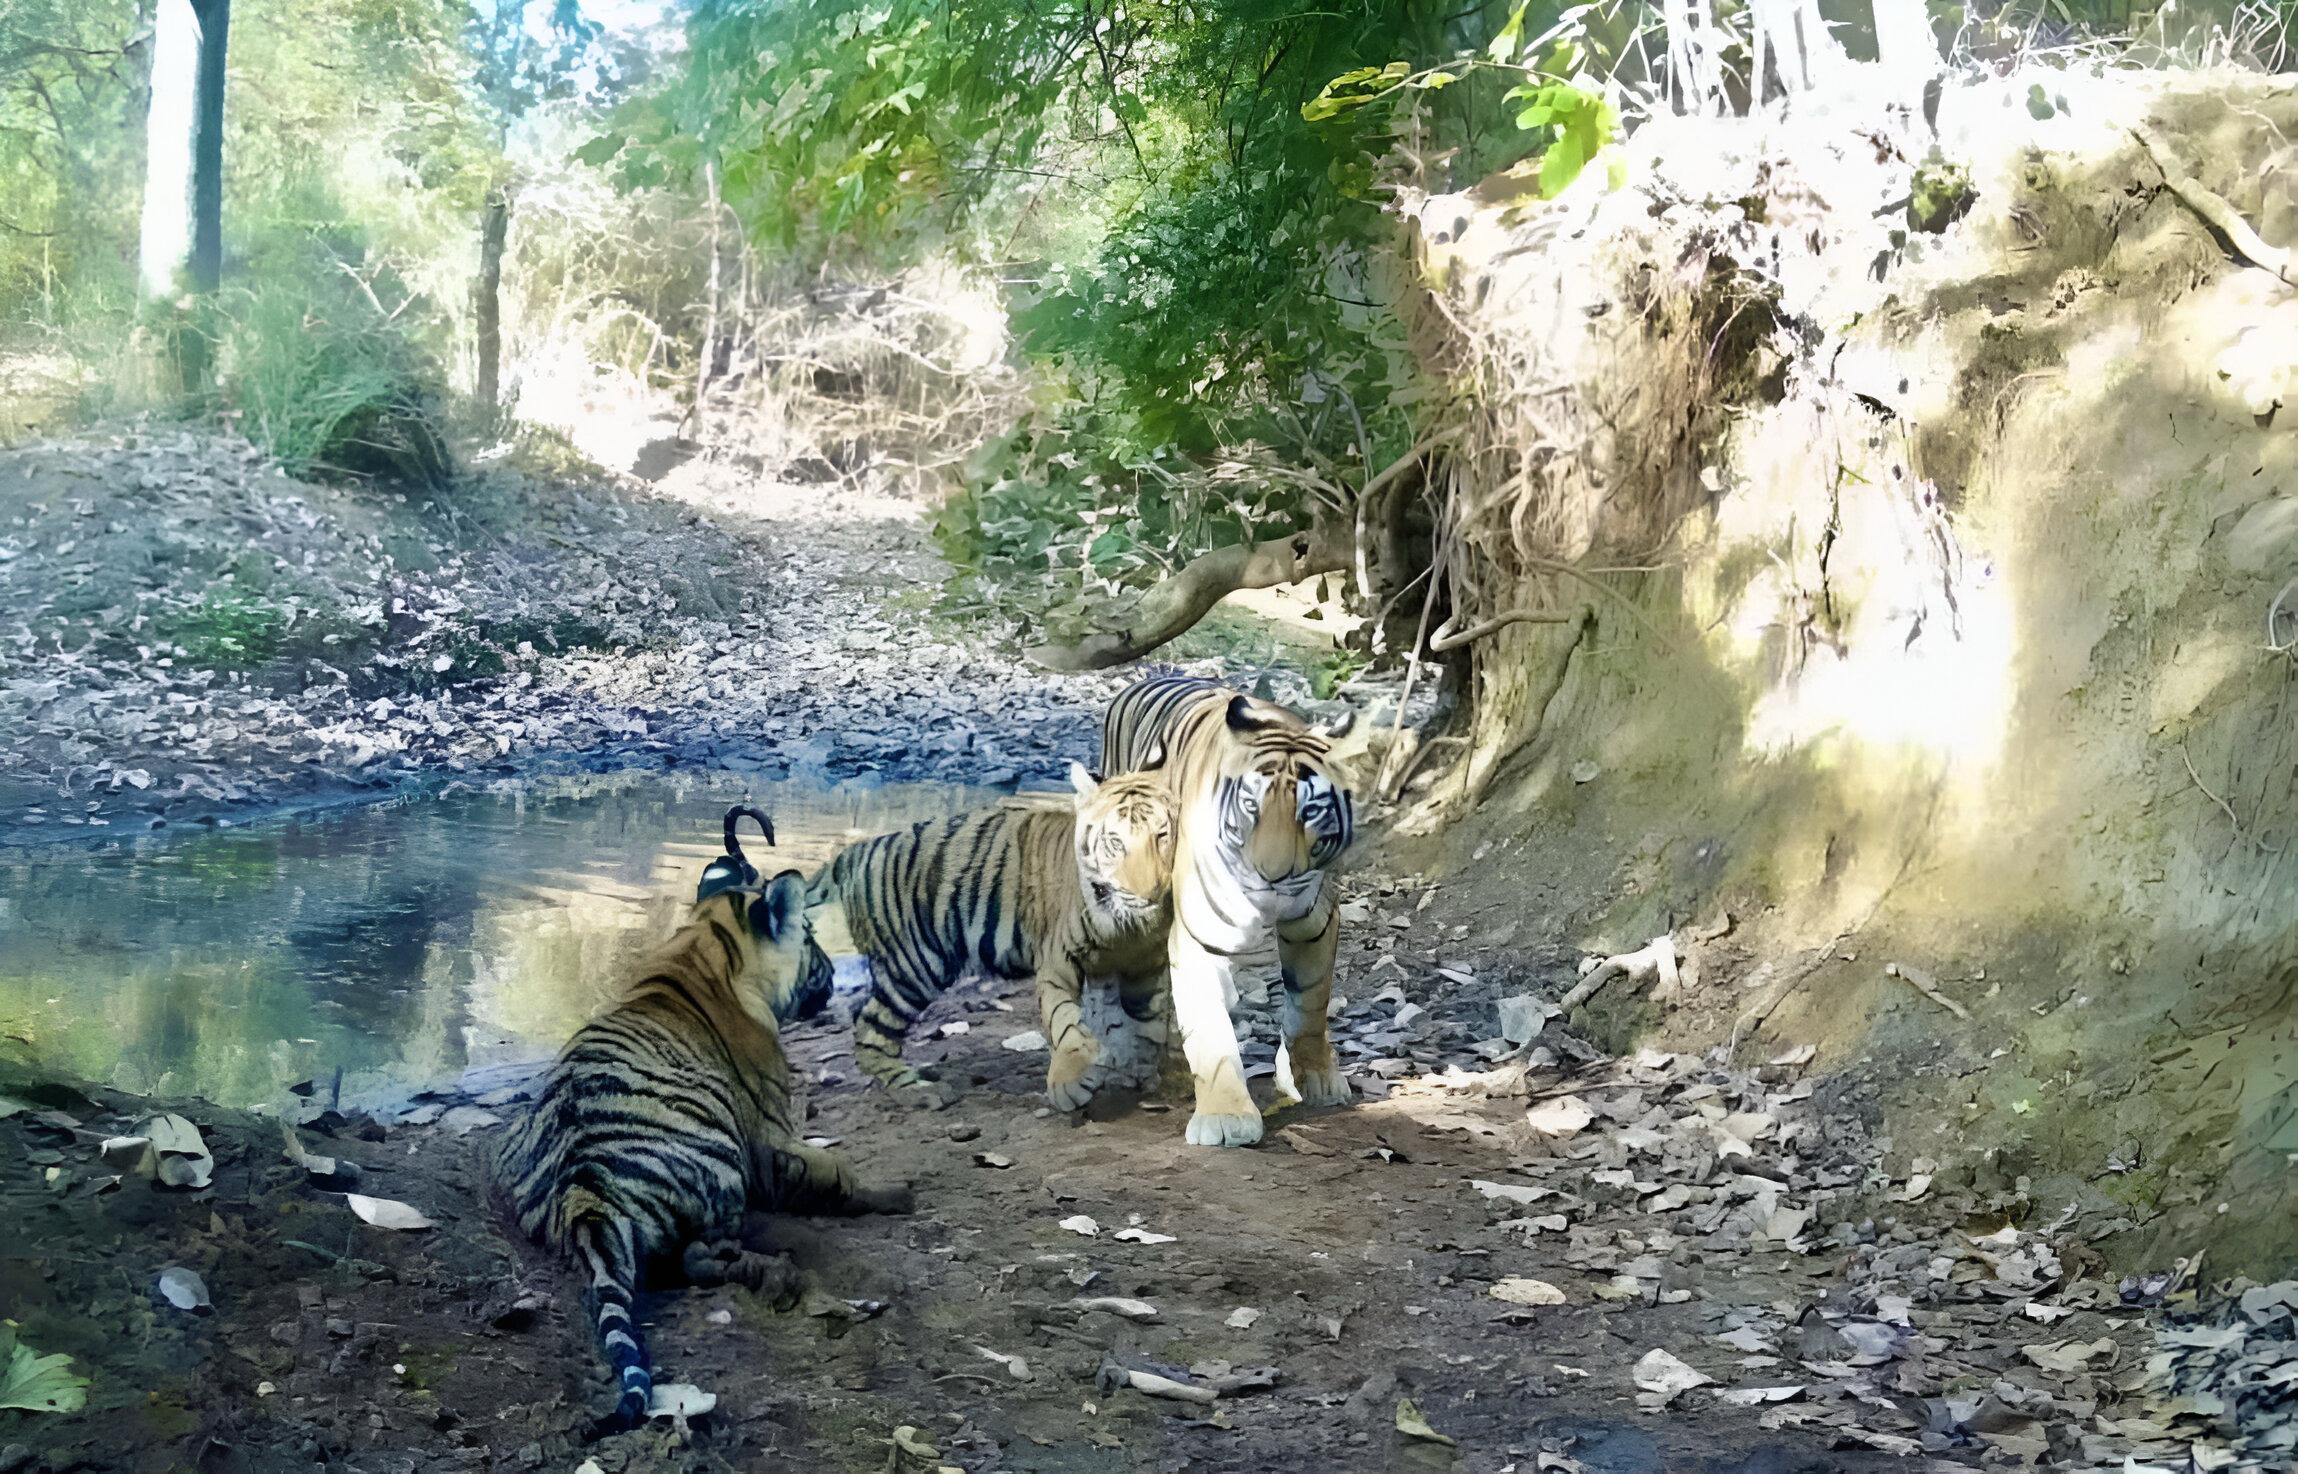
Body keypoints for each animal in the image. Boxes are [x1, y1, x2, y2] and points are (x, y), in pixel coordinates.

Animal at [496, 800, 914, 1434]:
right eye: (810, 937)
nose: (839, 970)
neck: (703, 949)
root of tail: (582, 1195)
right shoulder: (771, 1138)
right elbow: (839, 1173)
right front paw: (898, 1193)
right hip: (720, 1162)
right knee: (694, 1257)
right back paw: (757, 1267)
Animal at [808, 763, 1176, 1108]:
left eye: (1162, 836)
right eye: (1115, 842)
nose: (1148, 894)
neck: (1128, 925)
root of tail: (858, 850)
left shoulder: (1147, 961)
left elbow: (1150, 1021)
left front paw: (1140, 1070)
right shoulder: (1058, 959)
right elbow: (1063, 1020)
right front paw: (1069, 1085)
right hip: (914, 967)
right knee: (869, 1030)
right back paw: (919, 1090)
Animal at [1098, 676, 1351, 1149]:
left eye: (1309, 810)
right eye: (1252, 806)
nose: (1273, 876)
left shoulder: (1314, 919)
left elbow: (1310, 1002)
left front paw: (1317, 1078)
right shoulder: (1199, 933)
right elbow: (1210, 1030)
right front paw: (1225, 1116)